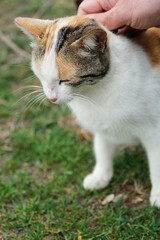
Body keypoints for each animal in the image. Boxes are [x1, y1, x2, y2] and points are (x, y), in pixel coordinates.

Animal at [15, 15, 160, 207]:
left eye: (64, 80)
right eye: (41, 76)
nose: (51, 98)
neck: (95, 93)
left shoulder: (154, 132)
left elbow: (156, 164)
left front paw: (158, 194)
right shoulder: (101, 125)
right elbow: (102, 149)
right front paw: (101, 176)